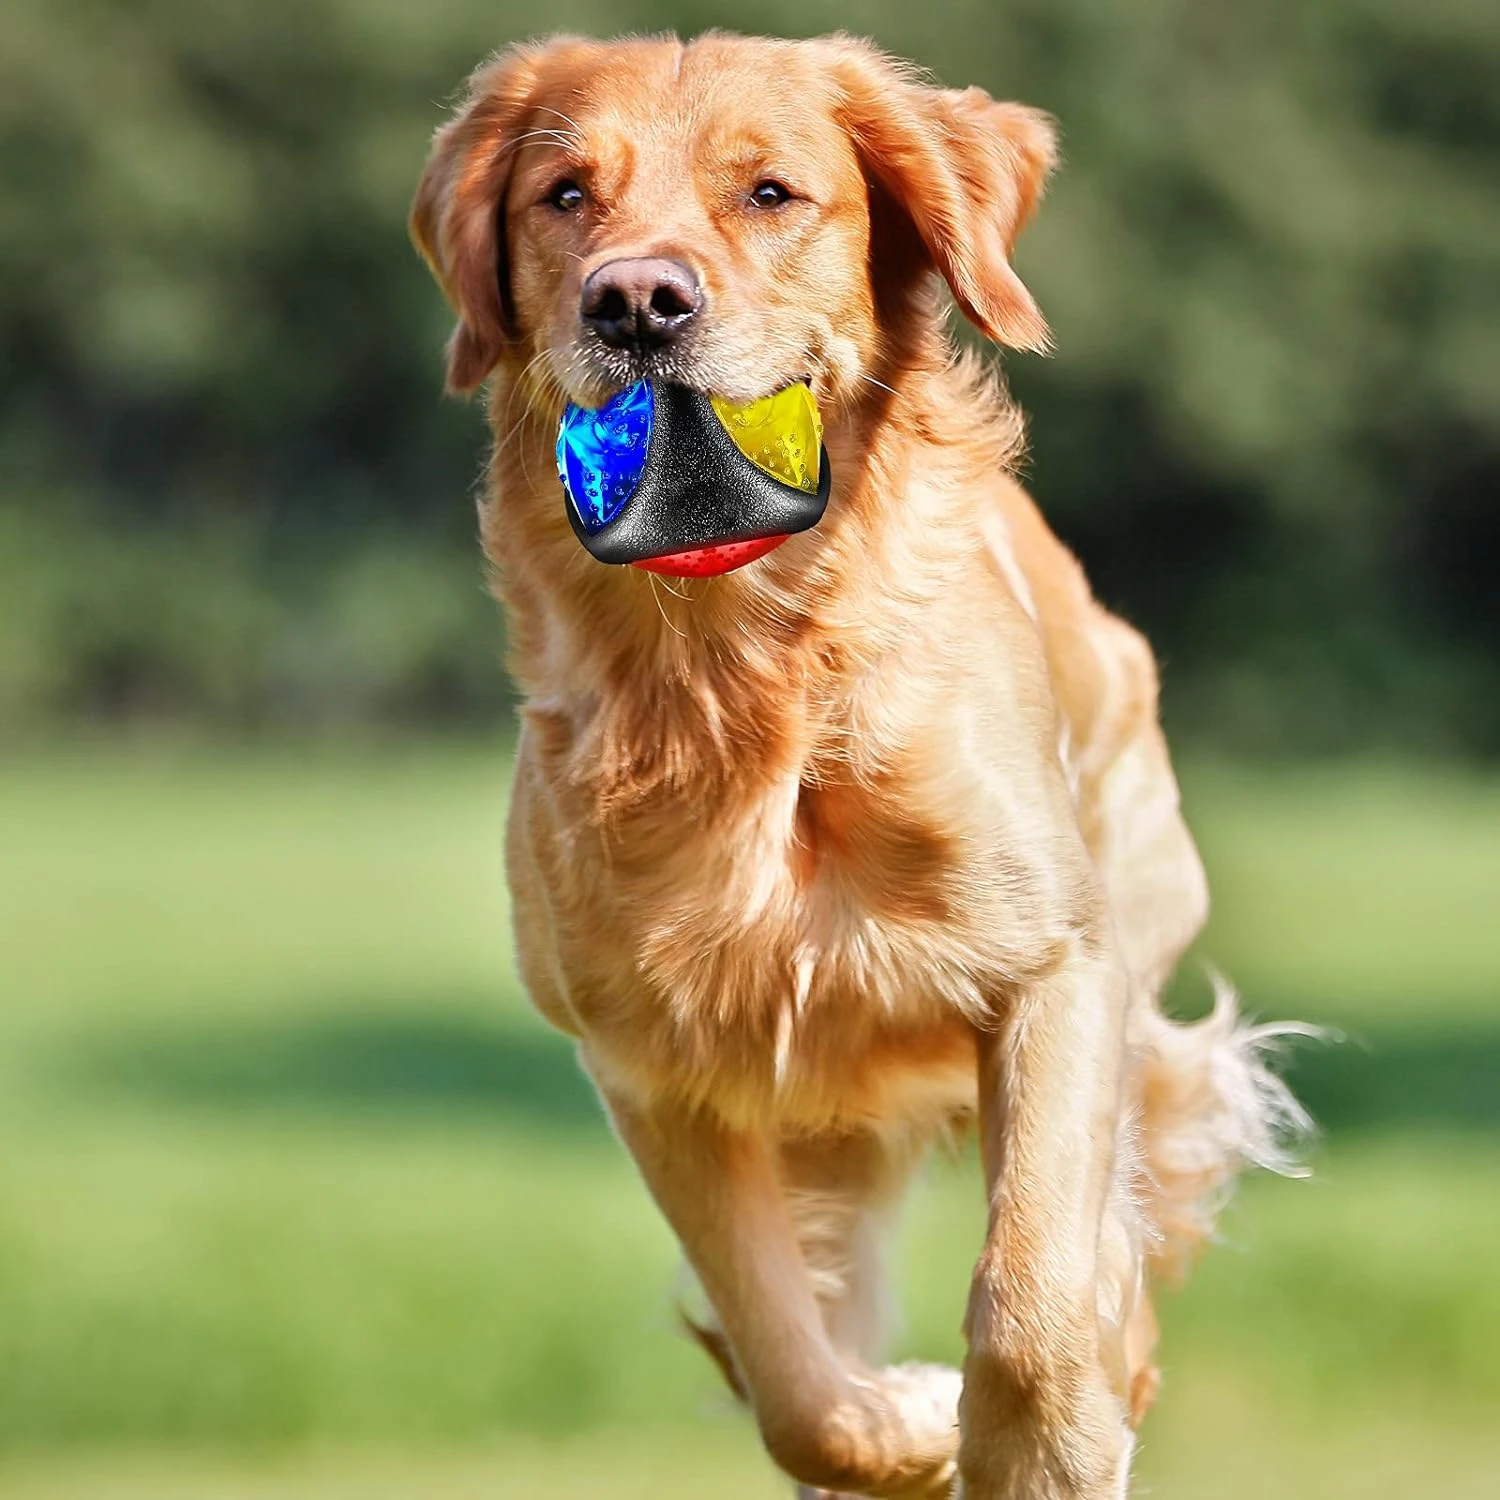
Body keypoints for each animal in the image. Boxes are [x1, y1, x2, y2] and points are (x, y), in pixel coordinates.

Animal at [414, 29, 1314, 1494]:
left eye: (771, 193)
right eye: (564, 196)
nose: (636, 303)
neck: (741, 675)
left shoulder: (1056, 967)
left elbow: (1036, 1292)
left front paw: (1044, 1439)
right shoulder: (652, 1067)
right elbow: (791, 1375)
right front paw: (904, 1426)